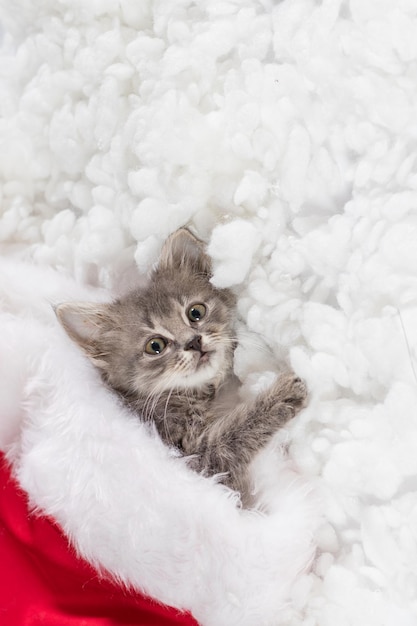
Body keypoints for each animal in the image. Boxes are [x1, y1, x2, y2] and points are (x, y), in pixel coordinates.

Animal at [55, 227, 306, 504]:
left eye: (196, 312)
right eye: (155, 345)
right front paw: (282, 395)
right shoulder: (193, 457)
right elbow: (233, 434)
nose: (194, 342)